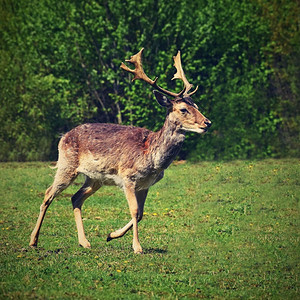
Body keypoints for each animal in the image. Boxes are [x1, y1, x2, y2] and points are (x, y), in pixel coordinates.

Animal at [28, 48, 211, 253]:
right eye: (183, 109)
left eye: (196, 106)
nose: (207, 122)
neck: (152, 157)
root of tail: (63, 136)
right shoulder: (128, 177)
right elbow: (134, 210)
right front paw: (137, 247)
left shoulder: (146, 184)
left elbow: (141, 213)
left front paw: (111, 235)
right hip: (67, 165)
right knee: (48, 194)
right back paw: (33, 240)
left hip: (94, 178)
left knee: (75, 198)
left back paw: (84, 242)